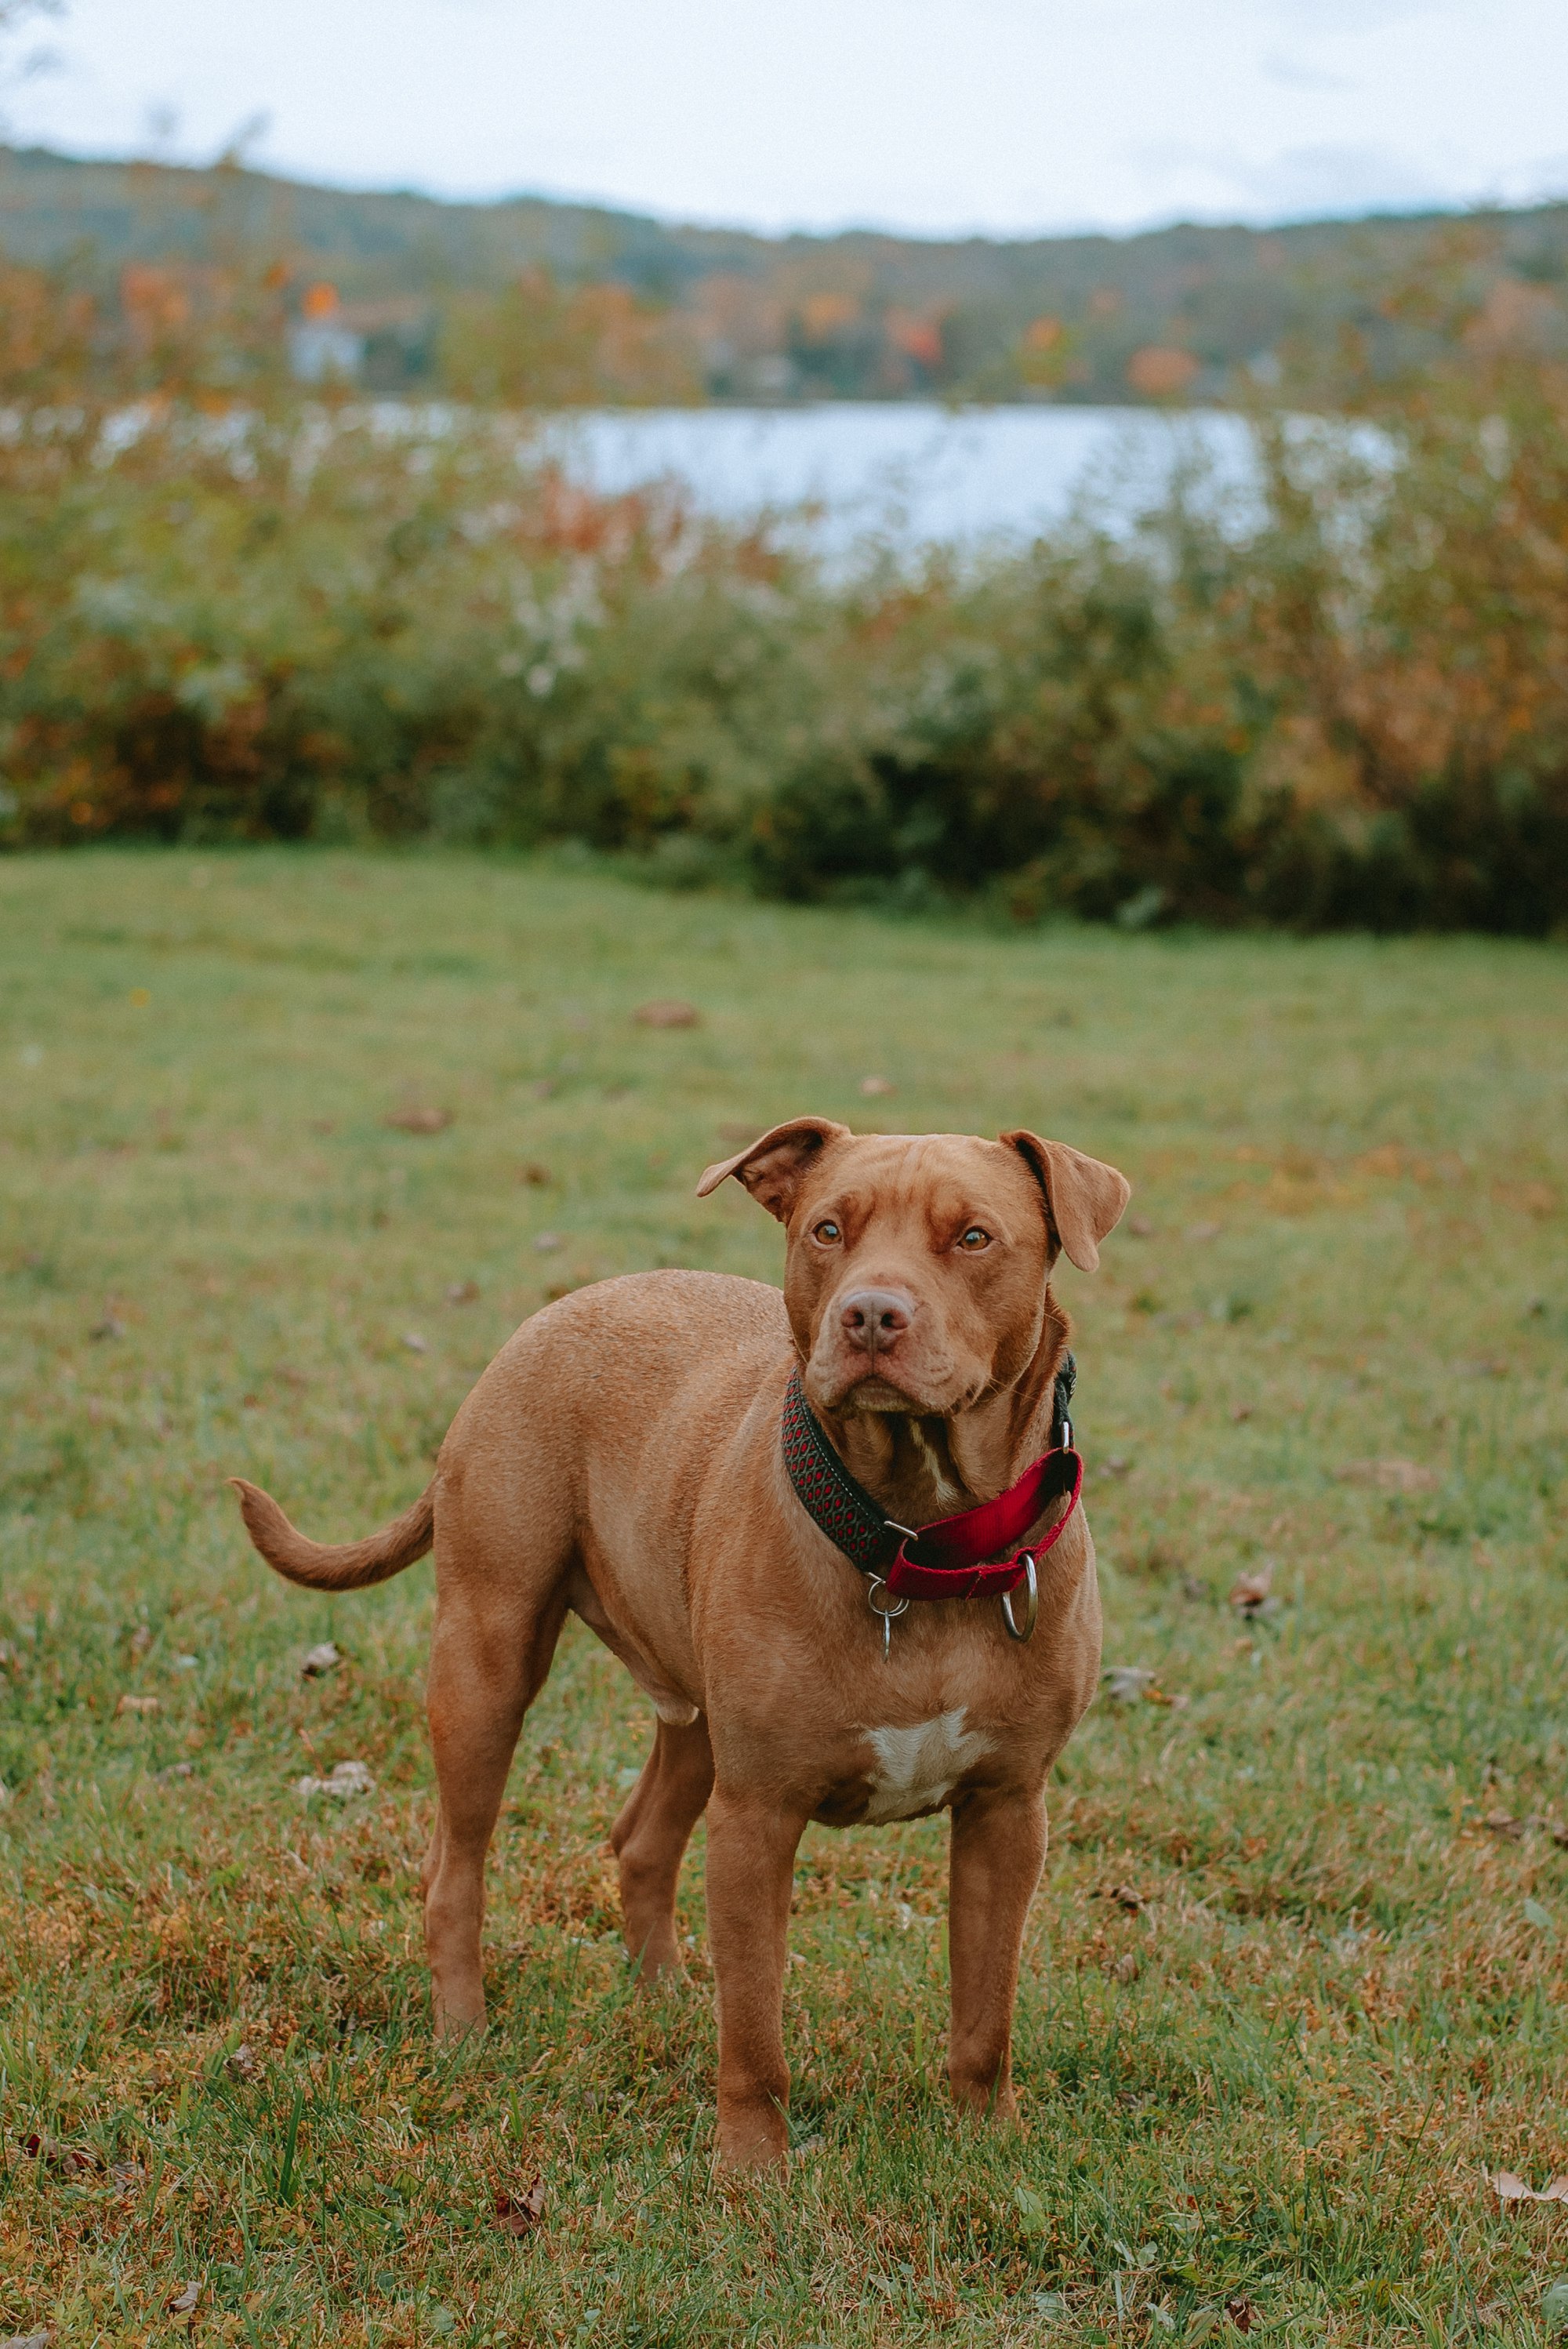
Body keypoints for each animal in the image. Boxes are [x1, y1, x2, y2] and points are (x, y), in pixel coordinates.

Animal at [232, 1118, 1127, 2161]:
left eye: (974, 1237)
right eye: (828, 1229)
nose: (869, 1316)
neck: (914, 1542)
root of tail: (557, 1308)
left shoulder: (1005, 1812)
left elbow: (984, 2007)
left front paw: (985, 2140)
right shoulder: (756, 1816)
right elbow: (756, 2029)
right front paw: (752, 2169)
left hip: (693, 1713)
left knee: (640, 1839)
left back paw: (660, 1998)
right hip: (487, 1660)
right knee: (456, 1867)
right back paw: (462, 2029)